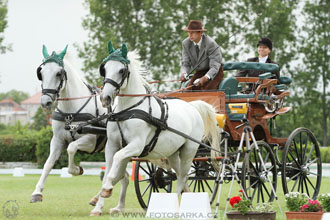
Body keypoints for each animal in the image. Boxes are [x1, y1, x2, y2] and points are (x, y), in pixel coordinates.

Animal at [30, 44, 129, 215]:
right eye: (40, 73)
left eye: (59, 73)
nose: (45, 103)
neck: (70, 112)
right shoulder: (57, 140)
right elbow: (48, 163)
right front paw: (37, 193)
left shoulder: (89, 141)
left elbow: (71, 148)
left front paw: (77, 169)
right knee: (124, 176)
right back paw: (114, 205)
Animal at [93, 40, 219, 211]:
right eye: (104, 69)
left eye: (121, 70)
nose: (105, 98)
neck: (128, 110)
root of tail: (192, 107)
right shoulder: (112, 144)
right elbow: (109, 169)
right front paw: (98, 206)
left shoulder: (136, 145)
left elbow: (117, 161)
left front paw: (106, 189)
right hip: (173, 153)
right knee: (180, 175)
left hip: (189, 150)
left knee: (184, 176)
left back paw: (175, 204)